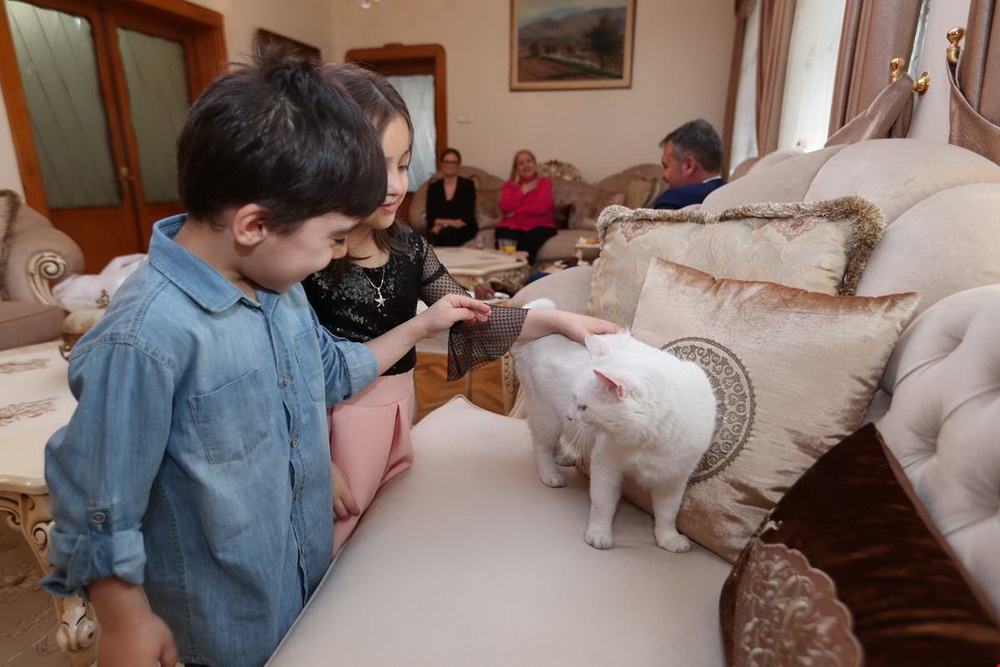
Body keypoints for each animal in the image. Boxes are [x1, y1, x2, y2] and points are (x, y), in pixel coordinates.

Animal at [516, 302, 720, 552]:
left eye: (583, 406)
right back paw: (550, 474)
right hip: (547, 418)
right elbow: (603, 503)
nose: (570, 415)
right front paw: (599, 534)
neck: (647, 439)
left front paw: (668, 538)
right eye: (573, 398)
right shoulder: (606, 465)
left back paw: (562, 456)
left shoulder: (673, 478)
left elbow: (667, 513)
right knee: (541, 448)